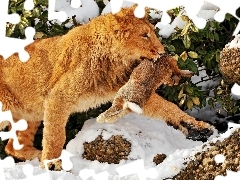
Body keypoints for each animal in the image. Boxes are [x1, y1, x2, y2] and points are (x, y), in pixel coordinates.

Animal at [0, 5, 214, 169]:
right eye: (145, 35)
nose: (162, 52)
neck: (114, 61)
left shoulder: (129, 90)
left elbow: (168, 108)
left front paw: (199, 127)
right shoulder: (57, 97)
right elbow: (55, 135)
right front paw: (53, 164)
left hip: (30, 114)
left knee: (13, 147)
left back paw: (38, 156)